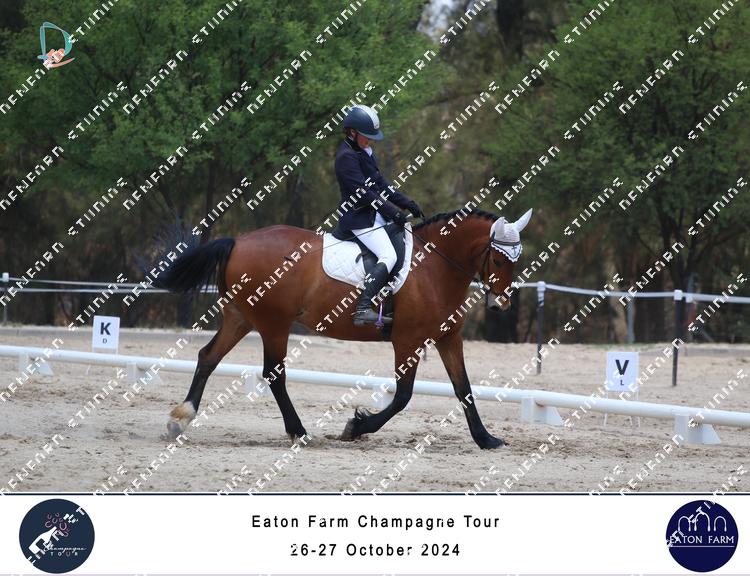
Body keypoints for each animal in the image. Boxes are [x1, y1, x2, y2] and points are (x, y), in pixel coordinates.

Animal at [155, 208, 532, 449]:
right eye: (499, 259)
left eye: (517, 261)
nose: (501, 305)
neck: (436, 266)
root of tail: (239, 240)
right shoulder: (407, 341)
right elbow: (403, 396)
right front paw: (356, 427)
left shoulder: (448, 338)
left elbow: (464, 388)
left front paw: (486, 439)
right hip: (274, 323)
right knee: (274, 373)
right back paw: (299, 432)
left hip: (241, 318)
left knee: (208, 357)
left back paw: (181, 418)